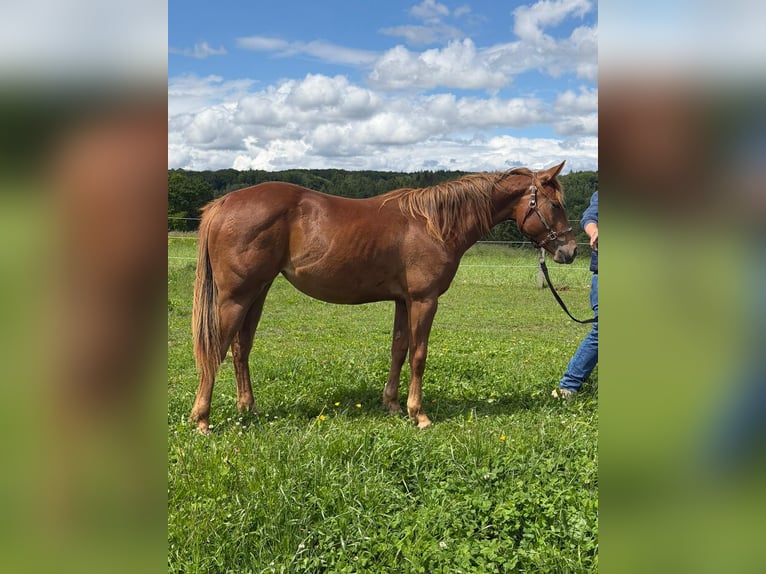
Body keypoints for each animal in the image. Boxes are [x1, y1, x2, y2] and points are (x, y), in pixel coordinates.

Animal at [190, 161, 577, 431]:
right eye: (556, 205)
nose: (570, 251)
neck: (434, 224)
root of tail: (223, 203)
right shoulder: (424, 300)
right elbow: (418, 355)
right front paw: (418, 414)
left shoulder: (403, 301)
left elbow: (398, 349)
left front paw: (392, 405)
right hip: (235, 297)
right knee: (216, 349)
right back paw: (202, 419)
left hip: (257, 292)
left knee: (240, 348)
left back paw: (248, 408)